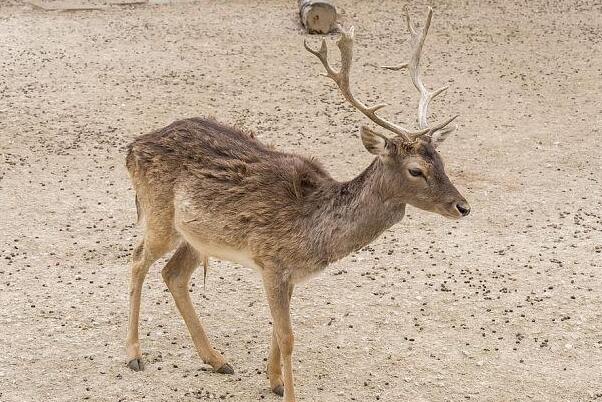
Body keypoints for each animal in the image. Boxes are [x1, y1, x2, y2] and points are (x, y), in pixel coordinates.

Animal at [123, 7, 468, 402]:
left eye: (441, 160)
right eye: (416, 170)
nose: (463, 206)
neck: (315, 234)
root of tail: (132, 147)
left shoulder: (289, 275)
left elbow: (277, 328)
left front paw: (273, 381)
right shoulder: (271, 261)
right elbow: (288, 336)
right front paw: (287, 391)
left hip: (198, 236)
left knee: (173, 274)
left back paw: (217, 359)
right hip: (158, 213)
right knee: (138, 260)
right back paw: (134, 354)